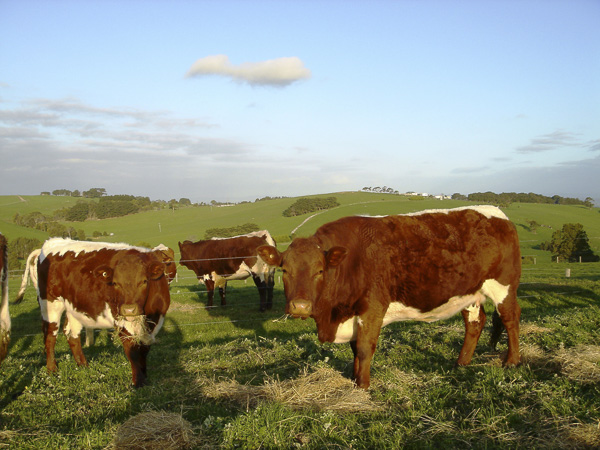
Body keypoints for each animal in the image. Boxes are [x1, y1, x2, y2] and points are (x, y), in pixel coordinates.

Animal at [36, 237, 171, 388]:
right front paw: (137, 382)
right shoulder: (121, 322)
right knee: (50, 336)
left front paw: (144, 378)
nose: (128, 309)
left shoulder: (155, 322)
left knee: (72, 334)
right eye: (115, 283)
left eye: (144, 281)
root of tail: (54, 241)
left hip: (74, 306)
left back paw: (83, 365)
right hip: (50, 304)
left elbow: (144, 350)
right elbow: (133, 351)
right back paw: (52, 369)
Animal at [260, 206, 524, 388]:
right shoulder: (355, 313)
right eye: (285, 270)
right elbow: (355, 349)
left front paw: (363, 386)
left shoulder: (373, 308)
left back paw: (511, 361)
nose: (300, 306)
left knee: (511, 318)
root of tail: (497, 214)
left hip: (503, 286)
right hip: (469, 292)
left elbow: (365, 348)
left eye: (320, 271)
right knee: (475, 323)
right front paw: (354, 379)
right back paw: (461, 362)